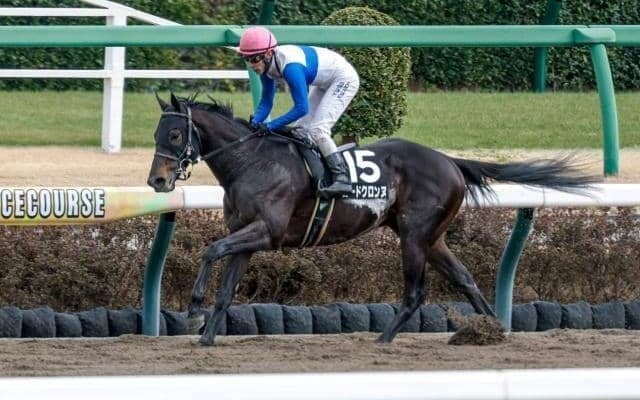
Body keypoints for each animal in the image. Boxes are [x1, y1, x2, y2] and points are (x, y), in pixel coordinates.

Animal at [147, 93, 598, 346]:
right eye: (155, 135)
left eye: (175, 135)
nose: (157, 180)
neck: (252, 161)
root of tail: (450, 161)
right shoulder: (247, 234)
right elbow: (227, 287)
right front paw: (206, 337)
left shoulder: (266, 233)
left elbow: (210, 251)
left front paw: (193, 311)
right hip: (431, 237)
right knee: (465, 278)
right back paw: (491, 332)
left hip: (414, 237)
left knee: (415, 293)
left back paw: (384, 338)